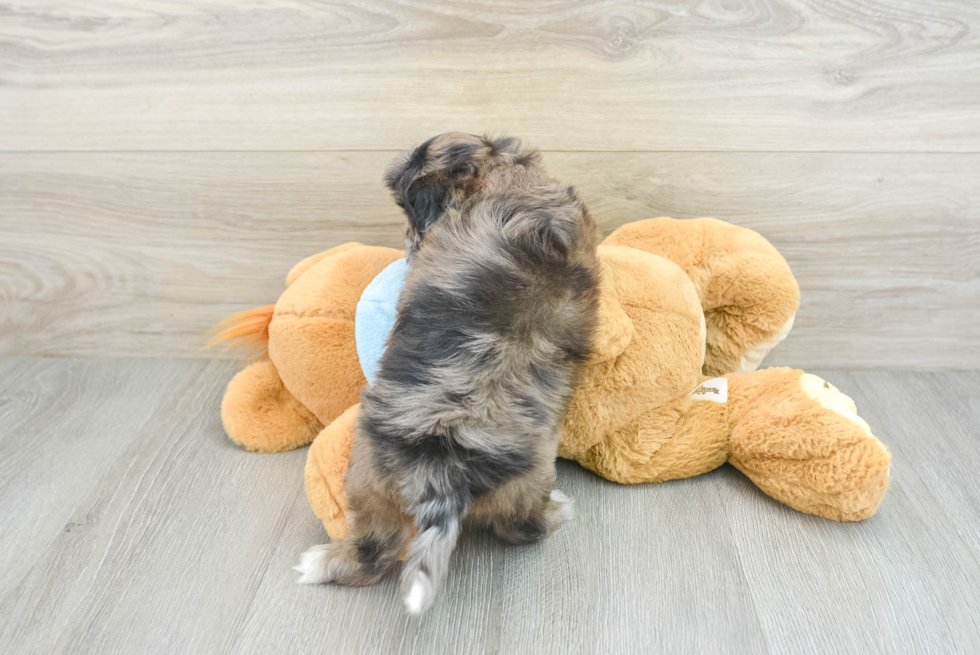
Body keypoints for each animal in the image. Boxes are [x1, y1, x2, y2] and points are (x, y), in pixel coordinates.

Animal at [294, 133, 600, 616]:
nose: (408, 243)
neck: (504, 177)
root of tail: (440, 470)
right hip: (529, 476)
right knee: (521, 530)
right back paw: (557, 511)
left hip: (368, 477)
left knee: (375, 546)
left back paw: (321, 564)